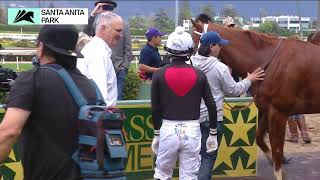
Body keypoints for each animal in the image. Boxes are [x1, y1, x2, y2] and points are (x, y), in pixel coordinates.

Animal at [191, 19, 320, 179]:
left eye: (192, 43)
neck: (270, 62)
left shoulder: (279, 113)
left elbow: (277, 148)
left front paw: (279, 170)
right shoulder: (266, 109)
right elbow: (259, 138)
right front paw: (276, 164)